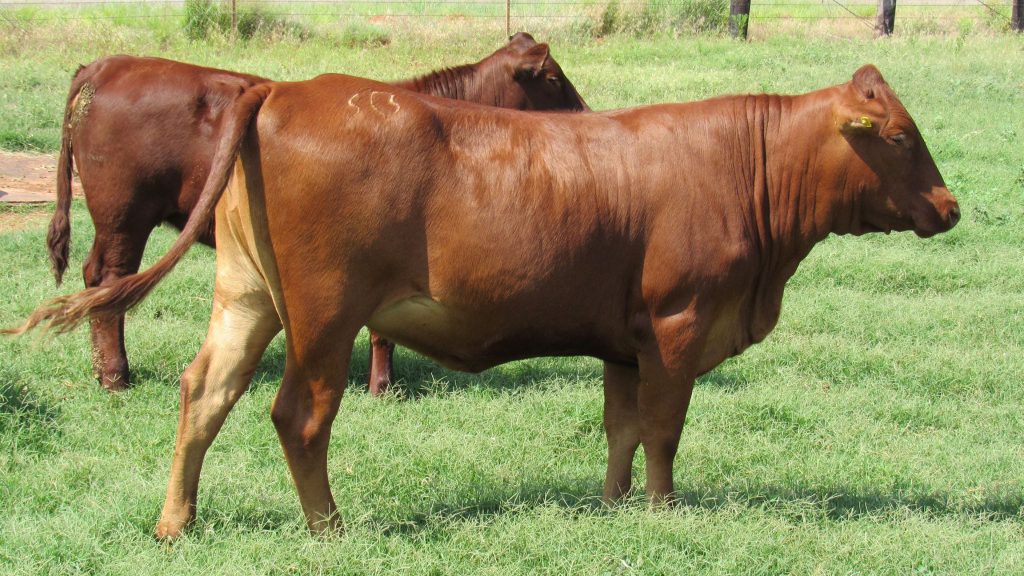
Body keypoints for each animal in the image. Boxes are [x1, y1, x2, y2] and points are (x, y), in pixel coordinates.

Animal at [47, 31, 588, 393]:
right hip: (125, 214)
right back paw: (115, 375)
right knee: (109, 279)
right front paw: (382, 387)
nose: (586, 113)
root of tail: (104, 66)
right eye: (553, 77)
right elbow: (381, 331)